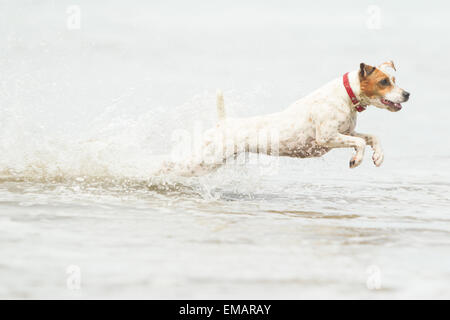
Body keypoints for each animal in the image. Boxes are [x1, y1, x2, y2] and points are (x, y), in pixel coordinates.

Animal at [156, 61, 410, 176]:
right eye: (384, 82)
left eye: (394, 79)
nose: (407, 94)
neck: (346, 96)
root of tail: (223, 122)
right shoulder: (326, 137)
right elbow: (359, 143)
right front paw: (356, 159)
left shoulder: (346, 132)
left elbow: (372, 137)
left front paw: (378, 157)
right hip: (204, 160)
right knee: (170, 165)